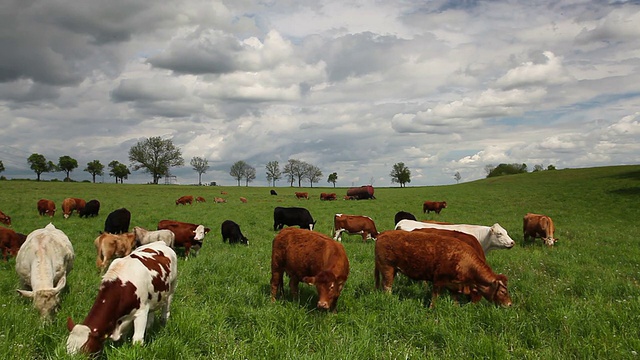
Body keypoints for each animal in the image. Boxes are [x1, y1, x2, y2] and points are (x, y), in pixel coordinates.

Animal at [376, 229, 510, 308]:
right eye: (503, 292)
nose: (510, 304)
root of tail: (383, 234)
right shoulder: (438, 280)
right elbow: (435, 297)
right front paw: (431, 308)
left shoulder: (454, 285)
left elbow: (455, 299)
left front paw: (456, 309)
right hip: (387, 269)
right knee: (387, 287)